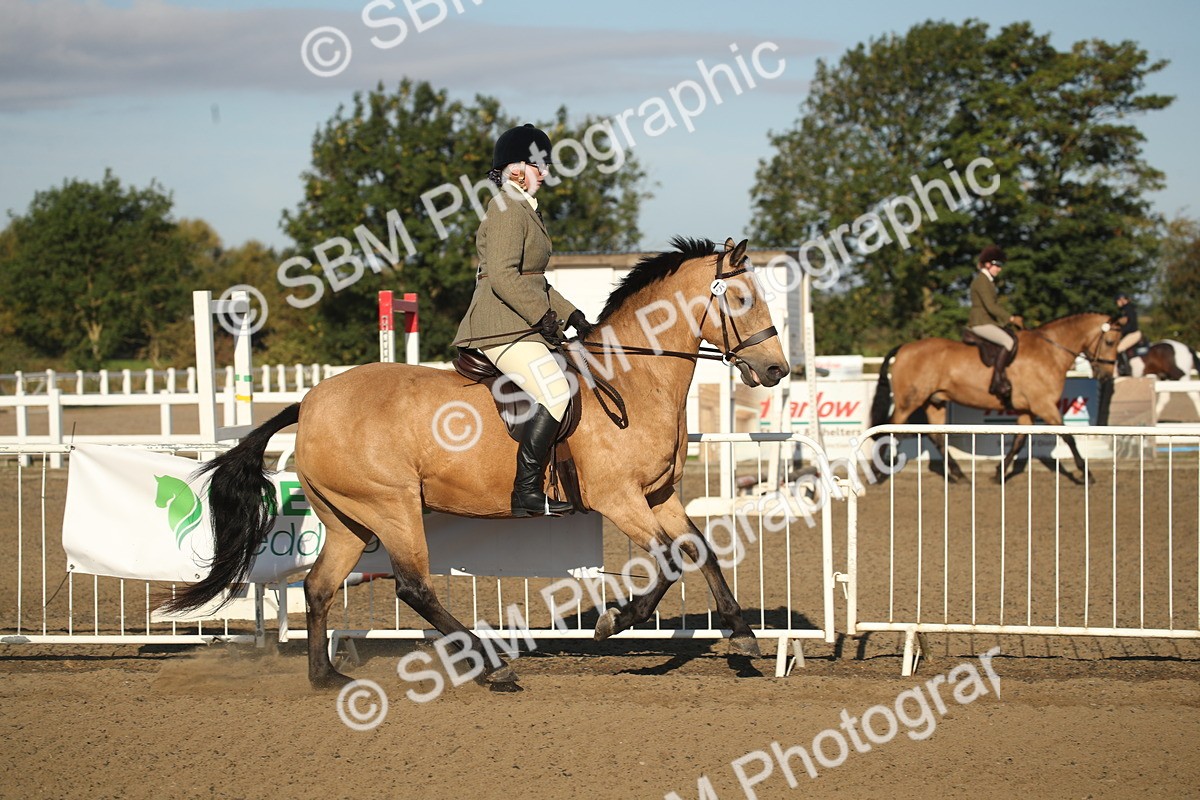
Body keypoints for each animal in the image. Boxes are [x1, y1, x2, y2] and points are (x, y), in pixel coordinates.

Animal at [163, 237, 788, 691]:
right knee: (413, 587)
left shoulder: (660, 495)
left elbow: (699, 551)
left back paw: (327, 677)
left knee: (319, 587)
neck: (632, 380)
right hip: (391, 506)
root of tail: (311, 402)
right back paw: (492, 668)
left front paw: (743, 635)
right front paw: (614, 621)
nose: (777, 370)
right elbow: (668, 561)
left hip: (348, 519)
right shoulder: (619, 498)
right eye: (740, 300)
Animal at [869, 313, 1122, 483]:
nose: (1106, 375)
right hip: (908, 402)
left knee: (937, 437)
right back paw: (877, 472)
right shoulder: (1044, 406)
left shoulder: (1027, 410)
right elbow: (1069, 438)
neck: (1050, 352)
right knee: (889, 428)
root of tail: (905, 348)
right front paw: (1086, 474)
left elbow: (1019, 441)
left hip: (934, 401)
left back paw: (960, 475)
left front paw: (1000, 473)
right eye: (1110, 342)